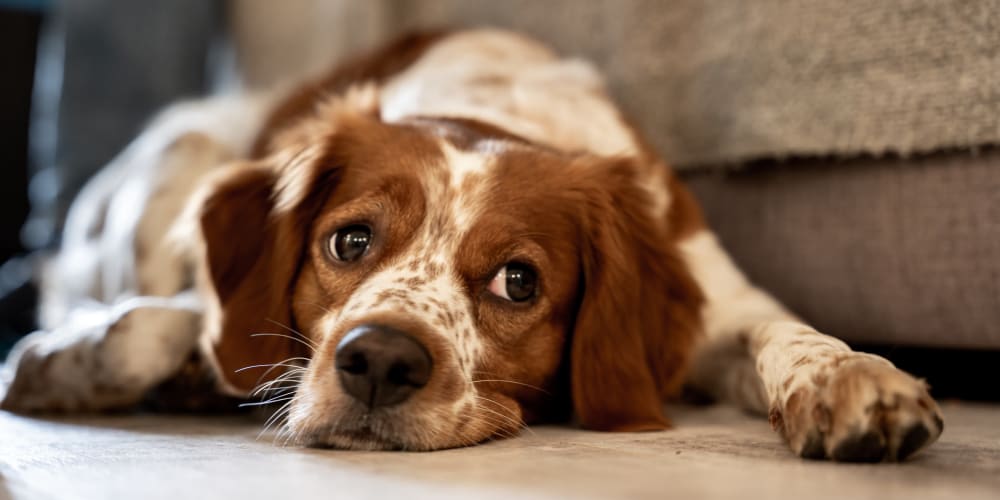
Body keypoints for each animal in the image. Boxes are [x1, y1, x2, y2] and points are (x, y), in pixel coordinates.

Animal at [0, 29, 940, 460]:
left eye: (519, 282)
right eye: (349, 241)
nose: (379, 362)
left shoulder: (722, 299)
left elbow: (790, 333)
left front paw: (854, 381)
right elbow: (154, 326)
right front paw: (63, 363)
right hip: (174, 162)